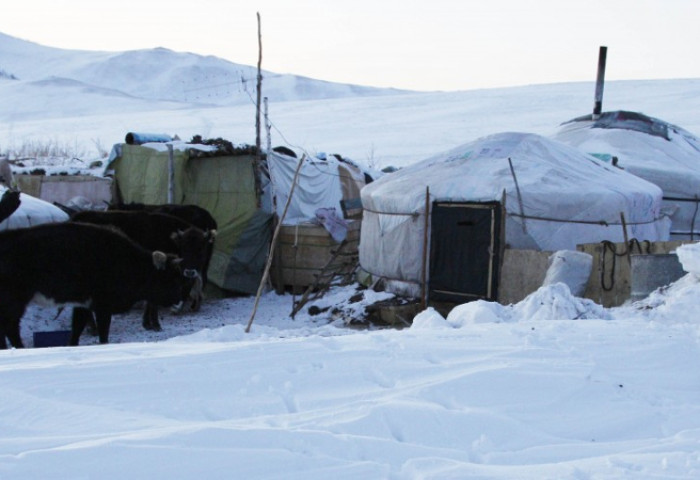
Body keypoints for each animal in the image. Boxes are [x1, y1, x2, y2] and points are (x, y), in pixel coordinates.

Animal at [0, 221, 189, 348]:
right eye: (170, 278)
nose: (179, 299)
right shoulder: (102, 306)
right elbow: (103, 331)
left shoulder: (83, 305)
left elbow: (77, 328)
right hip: (16, 302)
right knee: (10, 326)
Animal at [71, 210, 215, 330]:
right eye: (184, 247)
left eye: (201, 249)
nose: (190, 271)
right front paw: (155, 325)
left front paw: (148, 324)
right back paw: (93, 328)